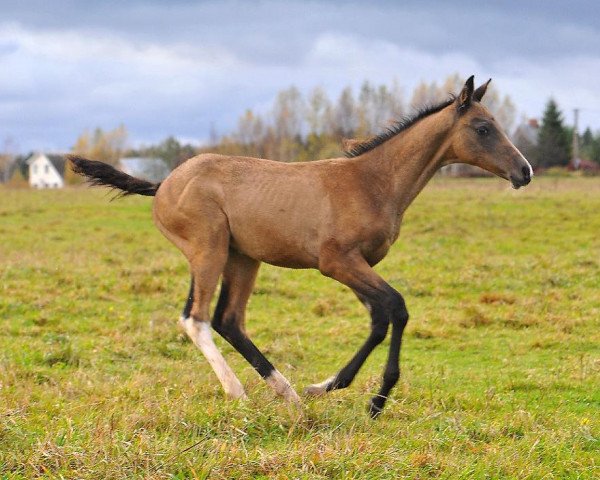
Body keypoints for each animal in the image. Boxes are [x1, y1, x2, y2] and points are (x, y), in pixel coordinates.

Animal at [71, 76, 536, 416]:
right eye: (483, 128)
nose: (525, 172)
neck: (373, 182)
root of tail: (164, 183)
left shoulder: (359, 266)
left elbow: (379, 318)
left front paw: (326, 387)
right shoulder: (337, 262)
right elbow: (396, 308)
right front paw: (373, 400)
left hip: (242, 258)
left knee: (228, 320)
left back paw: (288, 393)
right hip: (209, 249)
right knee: (196, 318)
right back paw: (238, 392)